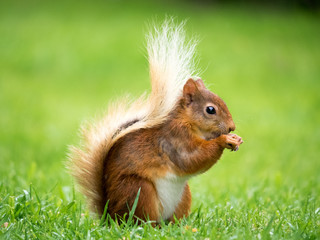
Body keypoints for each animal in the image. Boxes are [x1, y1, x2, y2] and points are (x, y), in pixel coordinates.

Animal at [68, 20, 242, 225]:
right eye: (210, 110)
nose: (231, 127)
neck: (188, 123)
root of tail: (111, 217)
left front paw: (236, 139)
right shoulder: (175, 139)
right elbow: (191, 159)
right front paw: (224, 140)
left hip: (183, 196)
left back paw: (182, 227)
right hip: (139, 190)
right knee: (142, 220)